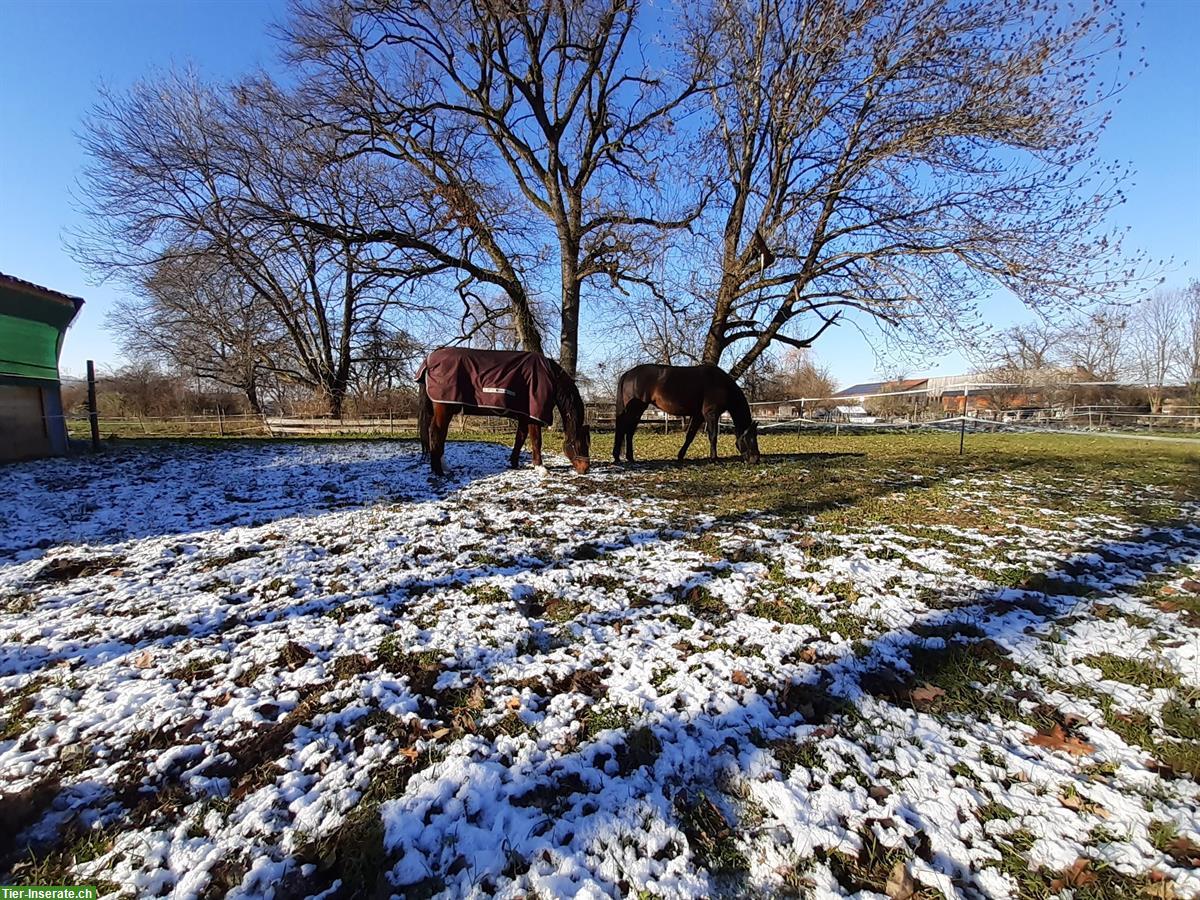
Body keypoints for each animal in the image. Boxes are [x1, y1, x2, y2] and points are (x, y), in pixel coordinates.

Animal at [417, 348, 590, 480]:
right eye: (579, 444)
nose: (585, 469)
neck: (551, 377)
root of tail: (429, 360)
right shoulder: (533, 417)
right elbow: (536, 441)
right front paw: (541, 468)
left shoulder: (524, 417)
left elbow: (520, 439)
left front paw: (514, 463)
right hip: (444, 409)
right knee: (436, 434)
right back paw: (439, 471)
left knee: (439, 436)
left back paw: (444, 467)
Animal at [619, 367, 758, 465]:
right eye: (751, 438)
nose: (756, 459)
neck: (722, 384)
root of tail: (629, 373)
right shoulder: (711, 414)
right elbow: (713, 436)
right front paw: (714, 459)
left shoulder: (698, 416)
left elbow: (690, 436)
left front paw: (680, 456)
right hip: (636, 409)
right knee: (627, 431)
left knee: (628, 431)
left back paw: (629, 457)